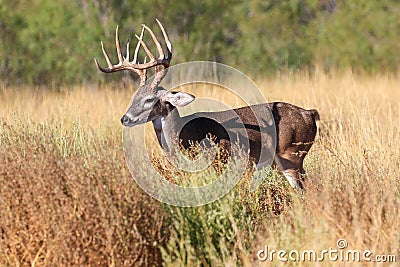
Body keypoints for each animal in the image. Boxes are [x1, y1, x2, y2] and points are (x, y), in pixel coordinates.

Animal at [94, 19, 318, 191]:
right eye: (134, 97)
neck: (184, 136)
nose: (125, 118)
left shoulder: (217, 164)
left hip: (292, 154)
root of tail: (310, 114)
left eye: (150, 99)